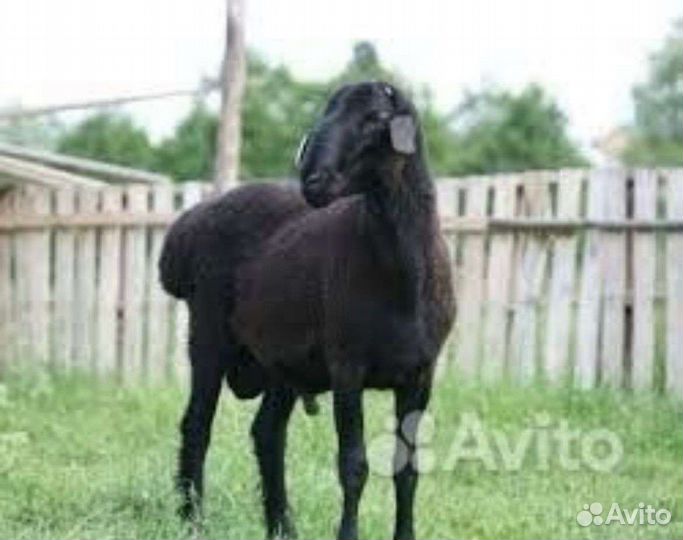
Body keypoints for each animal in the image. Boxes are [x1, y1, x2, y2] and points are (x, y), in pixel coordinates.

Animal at [159, 81, 456, 540]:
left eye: (375, 118)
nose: (312, 180)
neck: (402, 275)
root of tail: (188, 226)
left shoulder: (420, 374)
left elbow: (407, 468)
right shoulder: (347, 367)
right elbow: (354, 466)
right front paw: (347, 535)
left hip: (281, 359)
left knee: (267, 433)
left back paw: (282, 526)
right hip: (209, 335)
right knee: (196, 425)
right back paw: (194, 521)